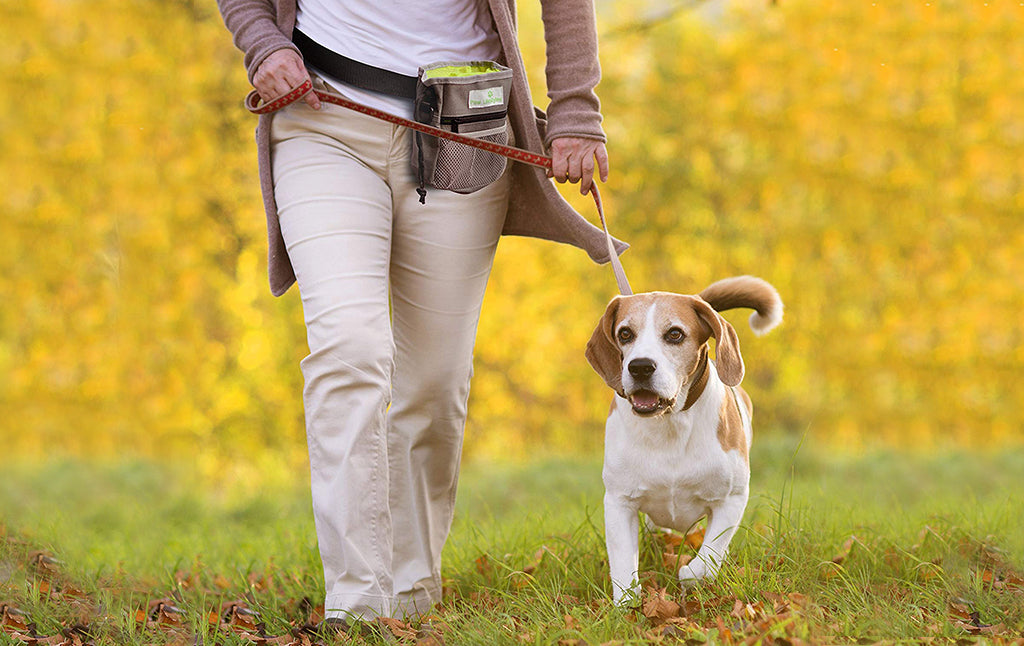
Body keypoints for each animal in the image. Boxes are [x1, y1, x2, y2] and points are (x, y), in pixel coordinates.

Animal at [589, 276, 778, 606]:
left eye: (675, 334)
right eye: (625, 333)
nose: (640, 367)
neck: (669, 424)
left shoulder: (732, 499)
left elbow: (709, 557)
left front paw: (690, 574)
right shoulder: (619, 501)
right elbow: (623, 562)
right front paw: (626, 605)